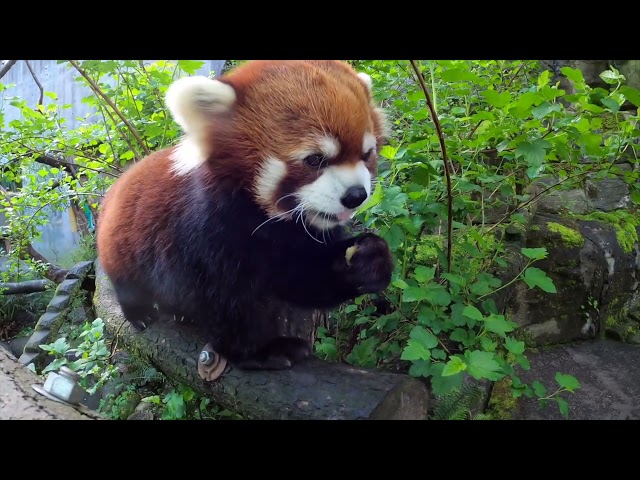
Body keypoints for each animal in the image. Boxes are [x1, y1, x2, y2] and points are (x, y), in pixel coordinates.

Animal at [97, 61, 392, 372]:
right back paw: (139, 313)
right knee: (128, 285)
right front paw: (262, 350)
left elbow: (304, 277)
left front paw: (367, 261)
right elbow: (225, 302)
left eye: (367, 154)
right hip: (122, 246)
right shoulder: (205, 233)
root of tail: (119, 183)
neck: (267, 222)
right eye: (314, 160)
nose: (356, 195)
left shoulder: (293, 240)